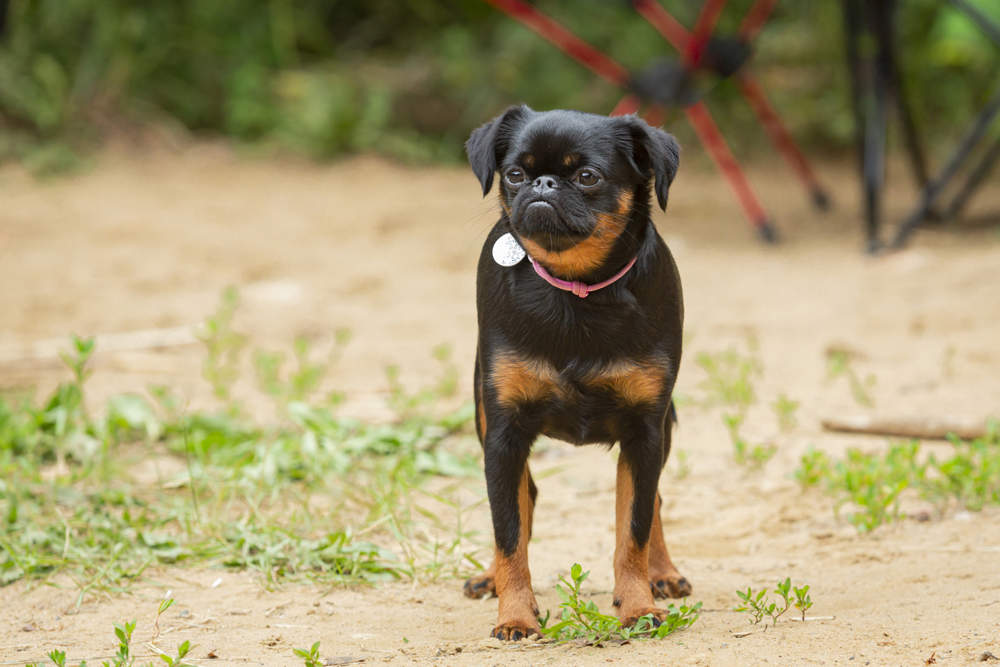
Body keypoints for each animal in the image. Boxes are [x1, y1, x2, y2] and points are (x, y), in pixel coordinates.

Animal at [462, 105, 692, 640]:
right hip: (484, 419)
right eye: (515, 174)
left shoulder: (645, 433)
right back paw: (490, 578)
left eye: (588, 177)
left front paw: (638, 605)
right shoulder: (503, 435)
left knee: (654, 504)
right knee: (520, 500)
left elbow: (633, 528)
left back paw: (663, 572)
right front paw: (516, 615)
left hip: (665, 429)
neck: (577, 287)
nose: (543, 183)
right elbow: (509, 532)